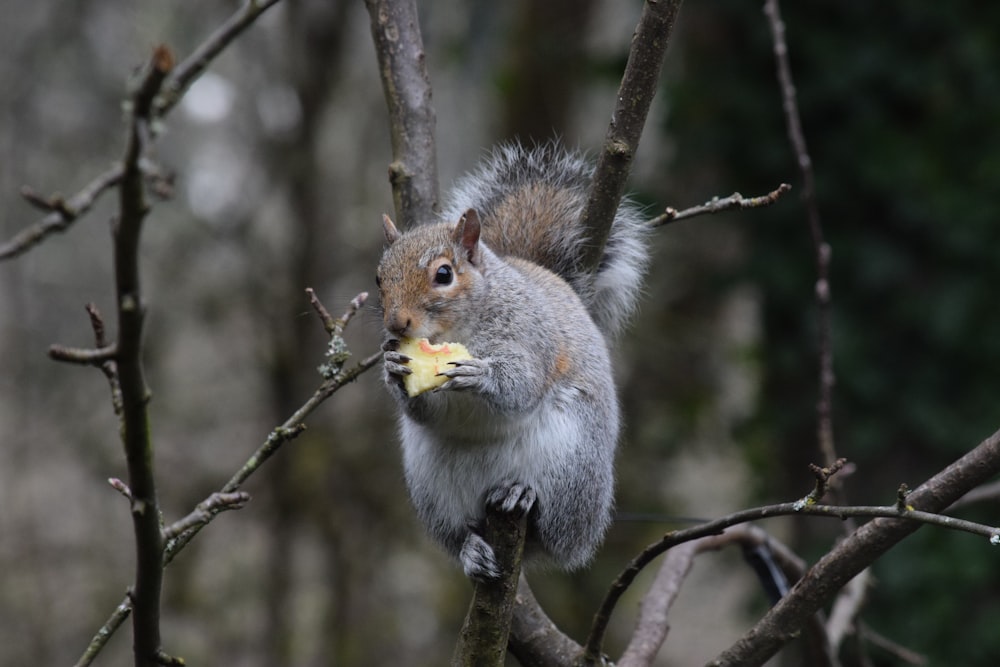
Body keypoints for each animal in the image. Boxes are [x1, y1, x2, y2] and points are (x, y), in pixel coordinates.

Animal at [376, 144, 648, 580]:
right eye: (379, 279)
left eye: (444, 274)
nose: (396, 323)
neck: (461, 327)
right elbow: (424, 412)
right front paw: (395, 371)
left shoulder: (532, 336)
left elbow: (522, 387)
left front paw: (481, 374)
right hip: (433, 490)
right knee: (460, 531)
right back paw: (471, 549)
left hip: (569, 463)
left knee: (552, 529)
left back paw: (522, 494)